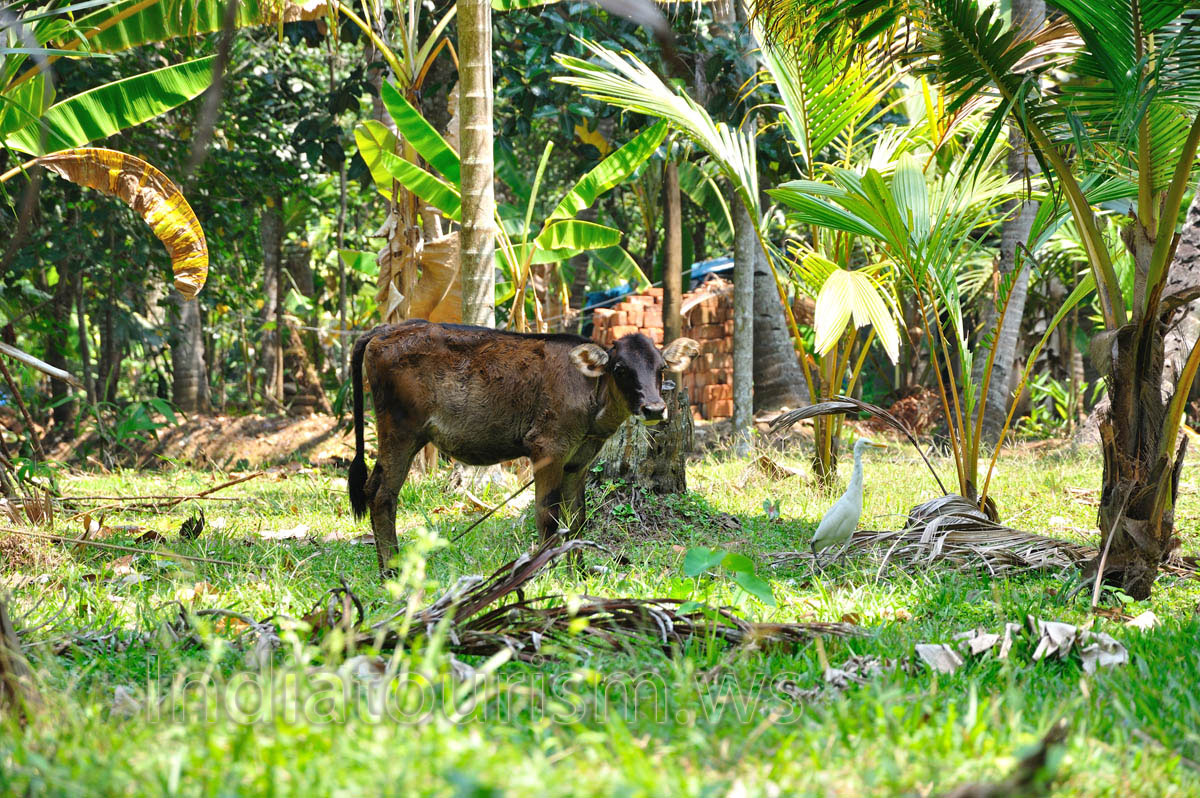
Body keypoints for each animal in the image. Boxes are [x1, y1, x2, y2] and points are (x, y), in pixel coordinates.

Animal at [348, 320, 698, 573]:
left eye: (661, 368)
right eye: (620, 369)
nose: (654, 408)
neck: (591, 398)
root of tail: (386, 329)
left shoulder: (579, 461)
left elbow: (577, 518)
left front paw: (578, 572)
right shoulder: (547, 449)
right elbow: (547, 516)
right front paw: (543, 572)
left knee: (373, 486)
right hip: (401, 431)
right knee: (382, 495)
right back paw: (391, 572)